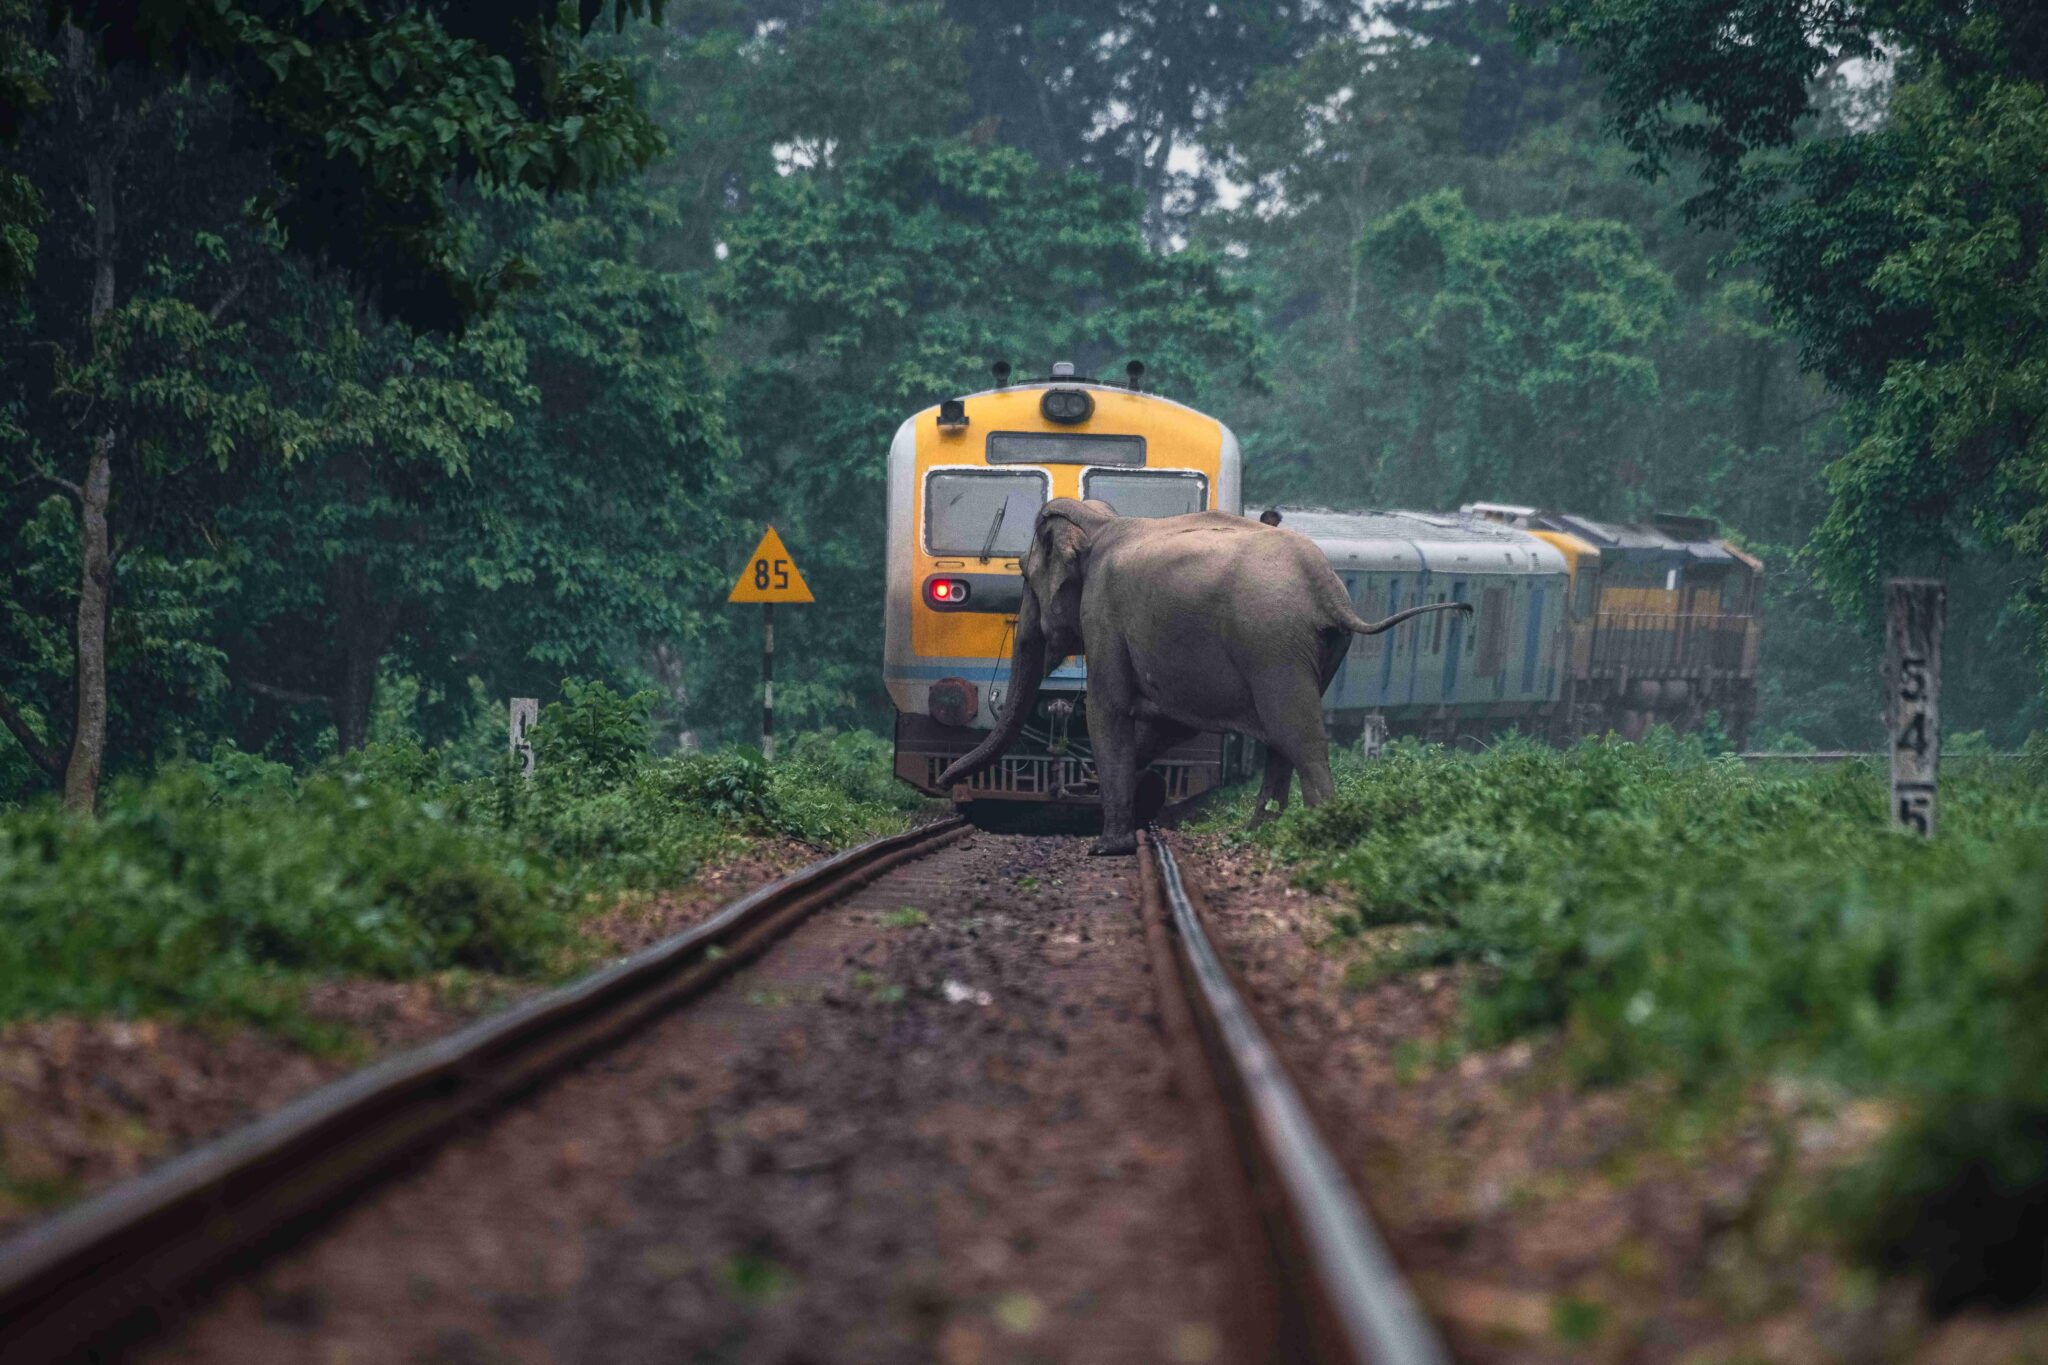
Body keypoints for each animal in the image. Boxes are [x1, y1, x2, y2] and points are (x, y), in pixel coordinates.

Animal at [937, 497, 1473, 855]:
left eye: (1025, 576)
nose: (945, 781)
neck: (1102, 522)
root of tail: (1328, 590)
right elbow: (1167, 725)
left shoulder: (1104, 613)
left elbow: (1107, 710)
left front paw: (1107, 847)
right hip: (1323, 647)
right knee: (1285, 738)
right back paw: (1258, 831)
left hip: (1270, 641)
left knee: (1298, 735)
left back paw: (1319, 832)